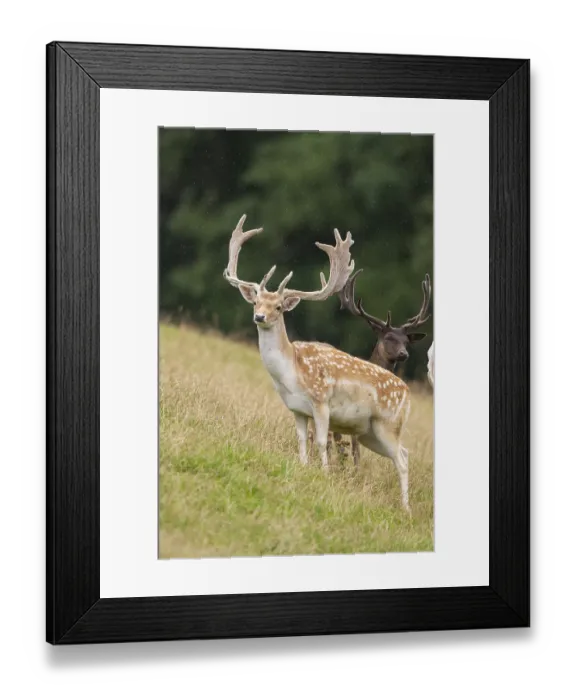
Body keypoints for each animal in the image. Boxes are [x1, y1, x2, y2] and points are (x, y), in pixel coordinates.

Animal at [223, 215, 413, 513]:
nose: (259, 317)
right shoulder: (297, 409)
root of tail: (408, 393)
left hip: (389, 423)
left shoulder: (322, 402)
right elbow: (303, 440)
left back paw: (406, 509)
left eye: (279, 307)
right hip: (370, 432)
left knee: (403, 460)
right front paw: (303, 467)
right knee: (404, 453)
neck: (292, 372)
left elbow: (323, 441)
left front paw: (324, 475)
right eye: (255, 302)